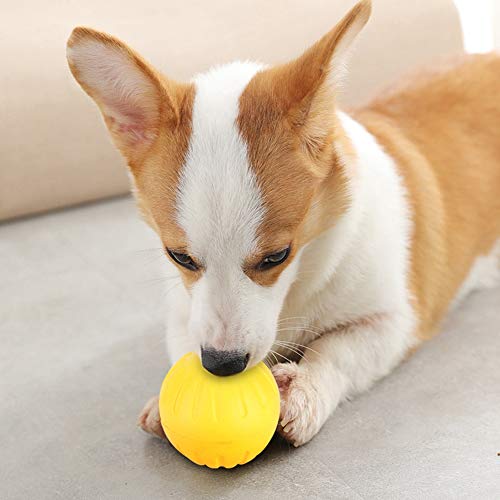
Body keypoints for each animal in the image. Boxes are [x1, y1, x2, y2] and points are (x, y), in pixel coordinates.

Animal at [66, 0, 500, 446]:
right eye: (180, 258)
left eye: (277, 256)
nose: (221, 365)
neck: (300, 283)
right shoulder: (184, 312)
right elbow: (186, 339)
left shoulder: (394, 321)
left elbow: (333, 351)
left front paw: (303, 385)